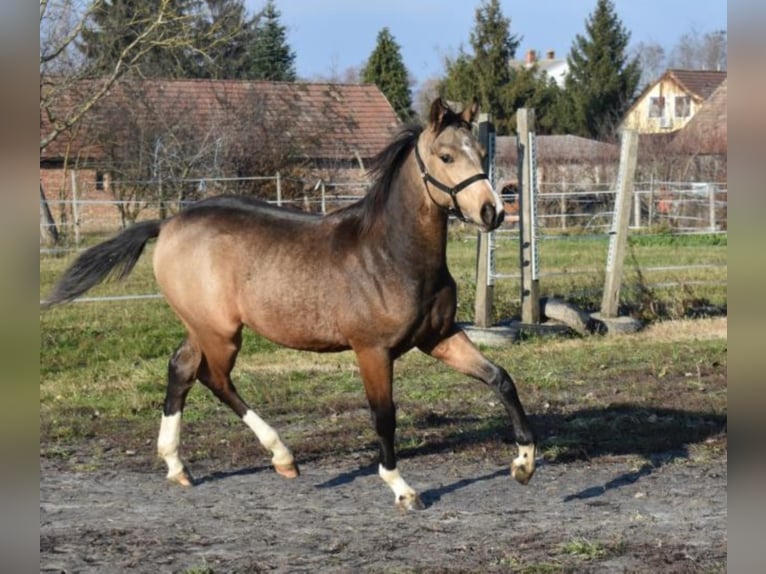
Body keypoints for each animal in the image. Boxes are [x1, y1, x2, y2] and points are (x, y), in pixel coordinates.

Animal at [45, 99, 536, 512]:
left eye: (481, 152)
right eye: (446, 157)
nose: (492, 212)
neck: (392, 253)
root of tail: (168, 223)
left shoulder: (439, 337)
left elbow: (501, 378)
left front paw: (525, 462)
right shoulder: (372, 351)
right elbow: (384, 416)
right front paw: (402, 488)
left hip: (201, 327)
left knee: (181, 369)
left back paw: (178, 466)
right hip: (222, 333)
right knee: (214, 379)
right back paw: (282, 456)